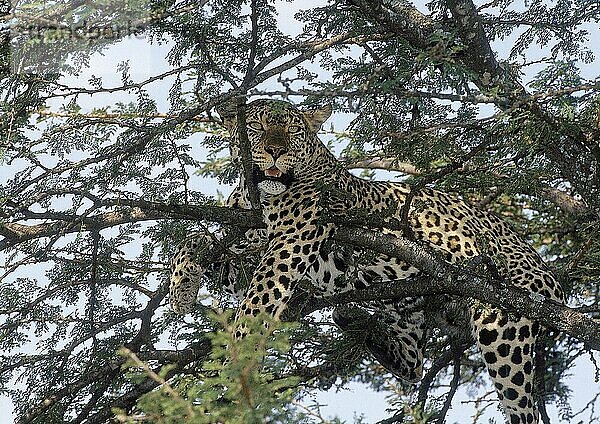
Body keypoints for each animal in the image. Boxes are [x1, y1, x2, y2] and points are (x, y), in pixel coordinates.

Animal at [169, 99, 564, 424]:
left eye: (293, 131)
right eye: (256, 126)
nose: (275, 151)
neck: (259, 198)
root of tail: (551, 275)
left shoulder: (290, 242)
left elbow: (256, 301)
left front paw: (236, 359)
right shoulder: (241, 237)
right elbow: (195, 241)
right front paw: (181, 289)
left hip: (502, 324)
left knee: (521, 406)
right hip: (406, 305)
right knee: (413, 363)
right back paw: (357, 321)